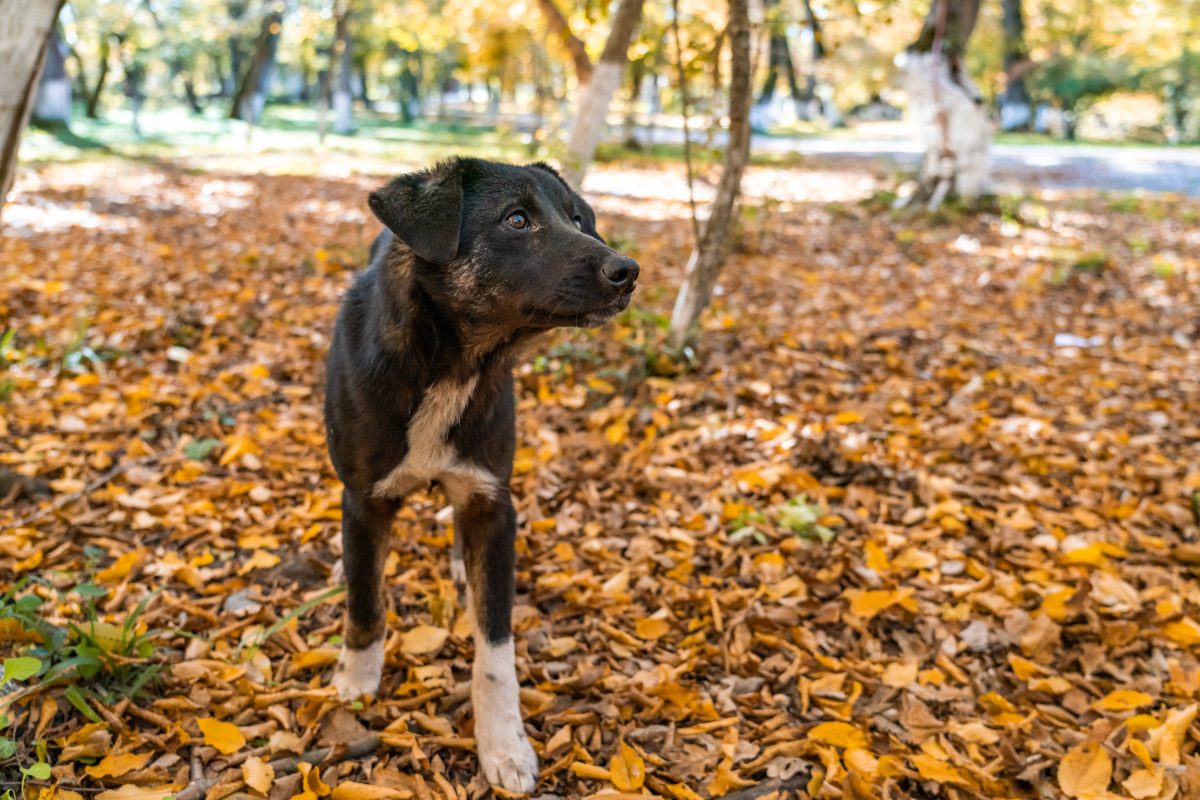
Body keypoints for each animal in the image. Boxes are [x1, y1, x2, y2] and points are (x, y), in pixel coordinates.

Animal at [319, 158, 638, 796]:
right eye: (517, 220)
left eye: (577, 219)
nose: (628, 271)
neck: (452, 366)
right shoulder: (363, 500)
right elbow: (365, 602)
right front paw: (356, 678)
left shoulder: (492, 504)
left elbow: (495, 652)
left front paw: (504, 745)